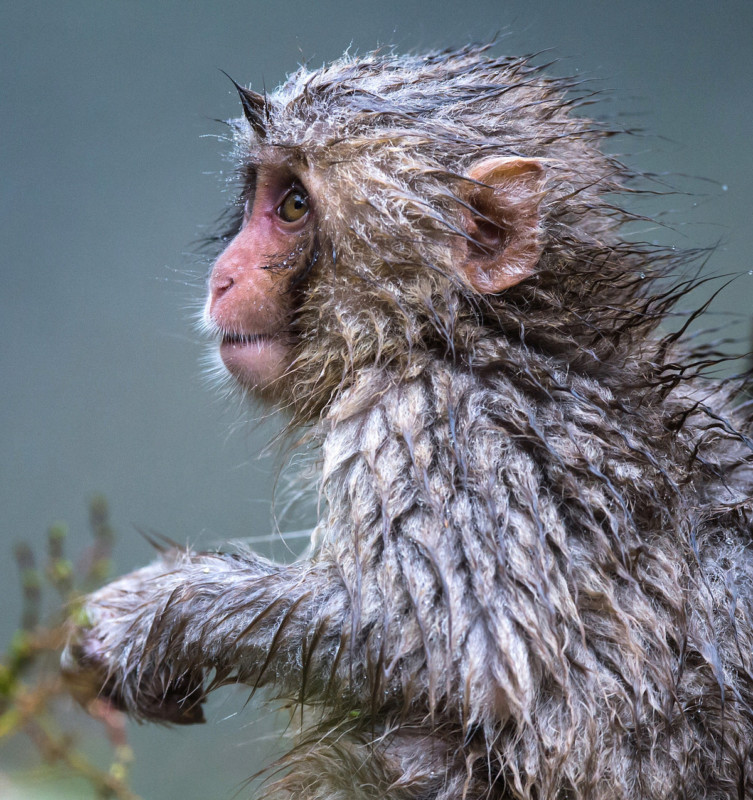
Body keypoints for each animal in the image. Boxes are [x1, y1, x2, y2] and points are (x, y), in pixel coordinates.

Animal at [61, 45, 752, 800]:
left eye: (293, 206)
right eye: (261, 195)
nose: (223, 275)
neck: (478, 329)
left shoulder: (437, 428)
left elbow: (457, 653)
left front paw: (151, 618)